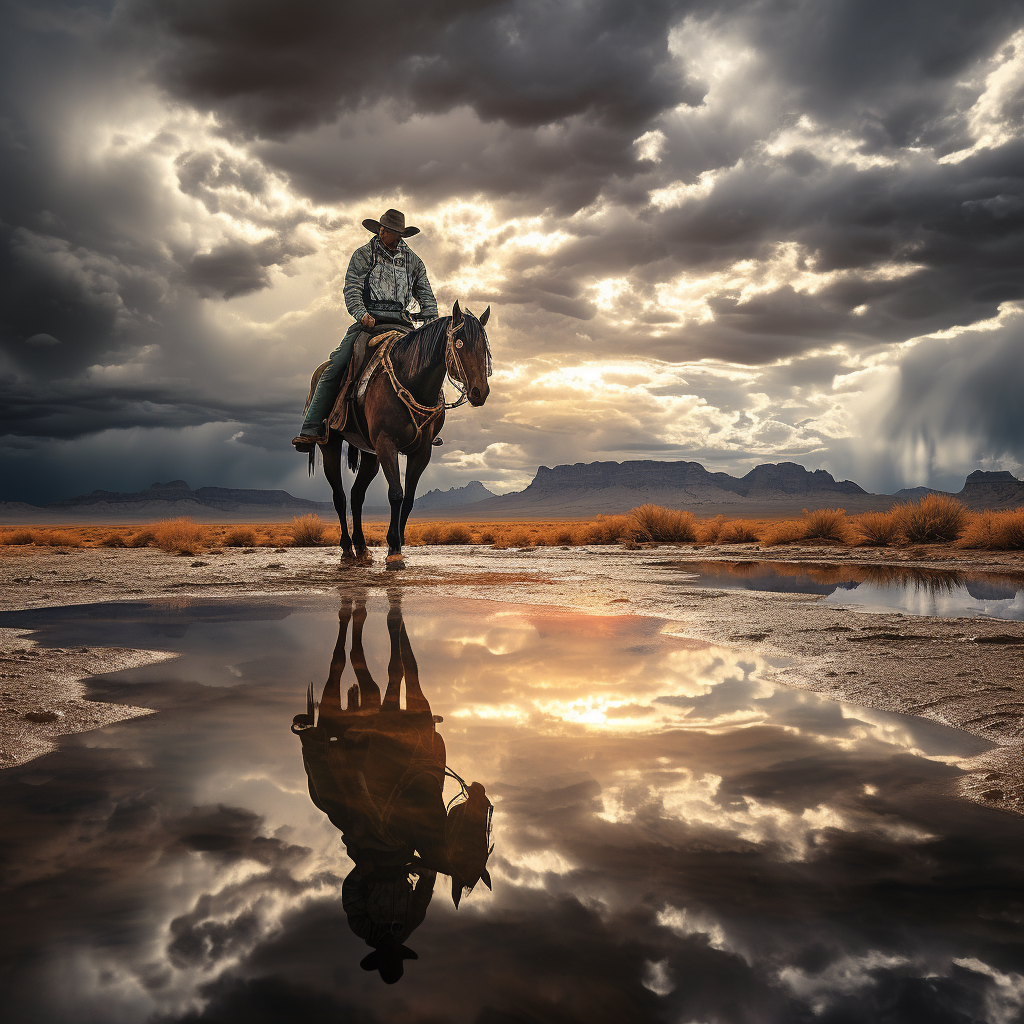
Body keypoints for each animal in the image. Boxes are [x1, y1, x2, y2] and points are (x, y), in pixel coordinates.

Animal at [321, 299, 493, 565]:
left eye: (485, 348)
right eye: (459, 342)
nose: (479, 392)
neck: (412, 383)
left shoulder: (421, 451)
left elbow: (410, 498)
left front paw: (399, 544)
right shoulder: (386, 444)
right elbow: (396, 494)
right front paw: (393, 550)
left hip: (369, 454)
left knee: (356, 495)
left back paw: (362, 548)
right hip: (330, 443)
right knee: (339, 496)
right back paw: (348, 549)